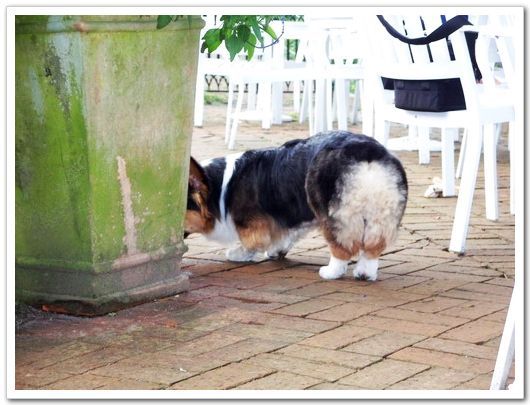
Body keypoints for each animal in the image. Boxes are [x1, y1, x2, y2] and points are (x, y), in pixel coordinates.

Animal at [184, 130, 408, 281]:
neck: (220, 187)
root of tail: (367, 154)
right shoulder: (295, 215)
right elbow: (286, 234)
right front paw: (276, 251)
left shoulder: (253, 225)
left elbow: (252, 242)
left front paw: (238, 254)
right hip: (381, 214)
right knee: (373, 246)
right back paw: (365, 272)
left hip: (332, 212)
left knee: (342, 246)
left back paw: (331, 272)